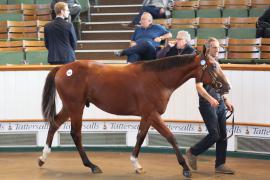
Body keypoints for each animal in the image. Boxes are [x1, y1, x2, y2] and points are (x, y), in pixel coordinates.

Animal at [39, 53, 231, 177]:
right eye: (214, 66)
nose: (227, 87)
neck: (158, 79)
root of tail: (64, 68)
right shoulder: (153, 114)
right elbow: (170, 136)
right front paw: (185, 168)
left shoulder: (147, 116)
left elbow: (140, 136)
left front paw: (137, 165)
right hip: (76, 107)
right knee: (75, 134)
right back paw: (92, 166)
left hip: (69, 107)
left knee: (54, 123)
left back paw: (42, 158)